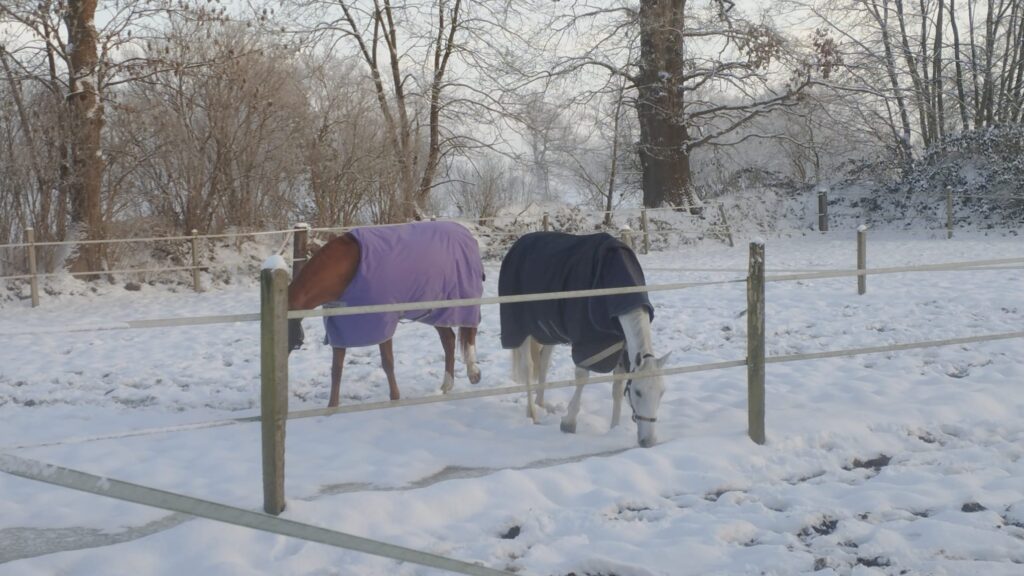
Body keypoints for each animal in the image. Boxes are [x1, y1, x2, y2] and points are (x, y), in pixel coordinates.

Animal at [287, 221, 484, 407]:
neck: (348, 270)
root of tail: (467, 235)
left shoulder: (382, 321)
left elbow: (388, 363)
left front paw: (395, 400)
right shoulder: (340, 327)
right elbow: (336, 369)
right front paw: (332, 408)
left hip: (463, 302)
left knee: (470, 331)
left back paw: (473, 373)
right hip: (436, 311)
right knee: (449, 340)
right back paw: (446, 385)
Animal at [498, 231, 669, 447]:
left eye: (662, 392)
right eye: (638, 392)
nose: (649, 441)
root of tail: (519, 243)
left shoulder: (619, 345)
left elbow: (617, 387)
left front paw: (614, 428)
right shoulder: (586, 344)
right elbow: (582, 378)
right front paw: (569, 423)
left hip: (548, 331)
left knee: (543, 362)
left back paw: (541, 403)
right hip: (522, 328)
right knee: (528, 366)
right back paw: (533, 414)